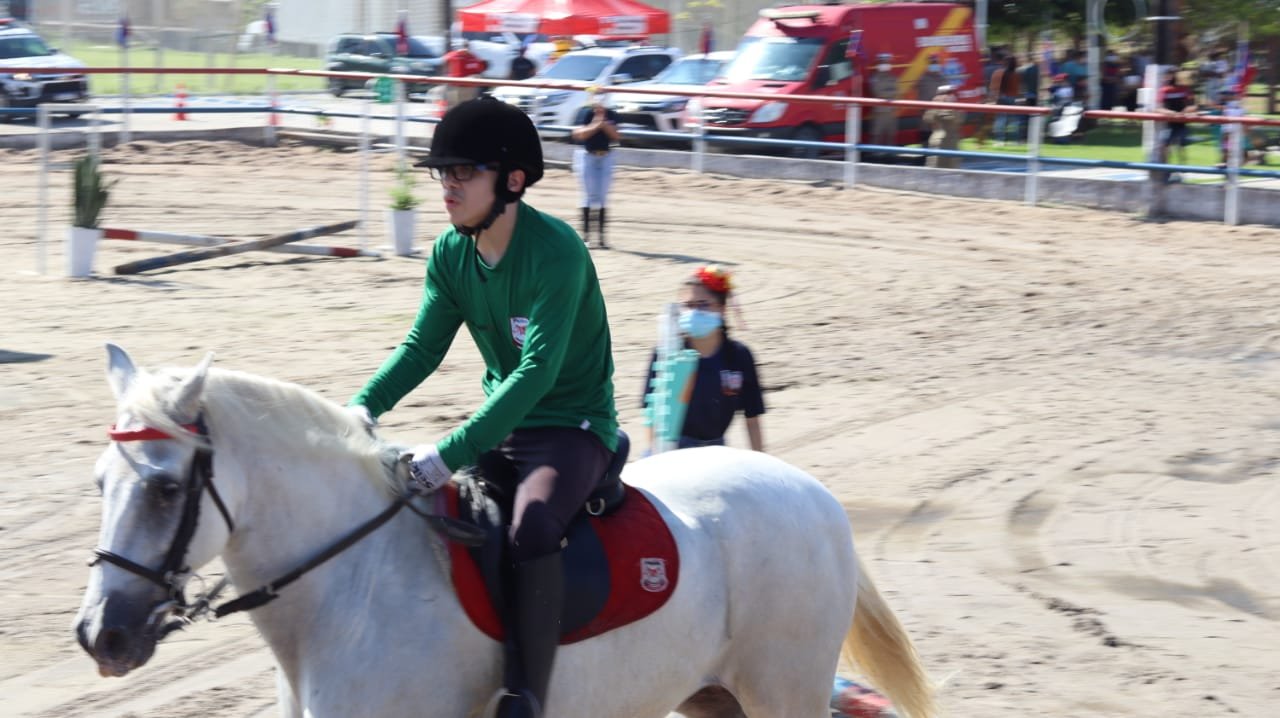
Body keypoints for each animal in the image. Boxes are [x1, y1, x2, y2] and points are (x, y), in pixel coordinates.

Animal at [74, 344, 935, 718]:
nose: (99, 635)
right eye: (101, 482)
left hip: (781, 693)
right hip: (711, 698)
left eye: (165, 488)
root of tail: (814, 495)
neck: (350, 591)